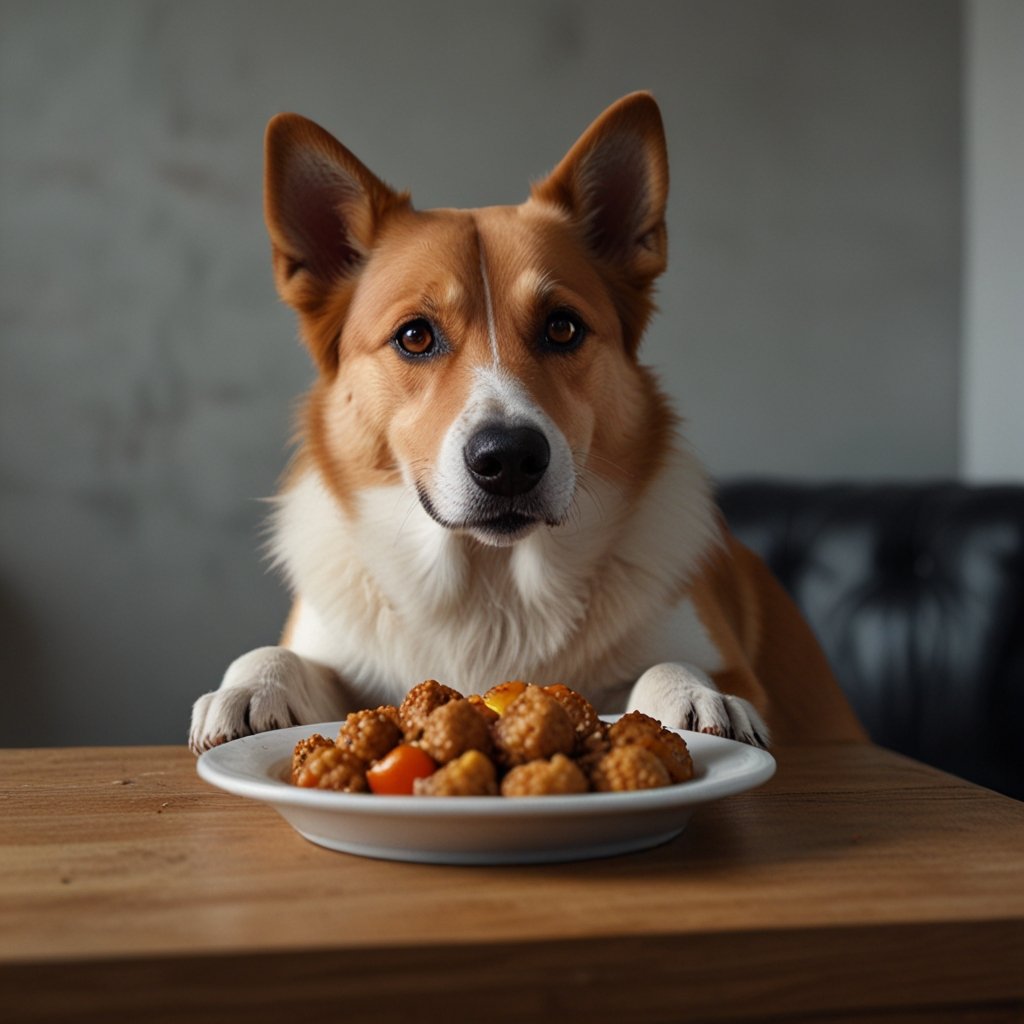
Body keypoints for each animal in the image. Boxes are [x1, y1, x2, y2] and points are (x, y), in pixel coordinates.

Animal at [186, 92, 864, 757]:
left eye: (562, 327)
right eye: (414, 336)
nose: (509, 458)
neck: (493, 587)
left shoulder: (728, 664)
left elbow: (670, 668)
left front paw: (694, 695)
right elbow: (283, 658)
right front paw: (252, 685)